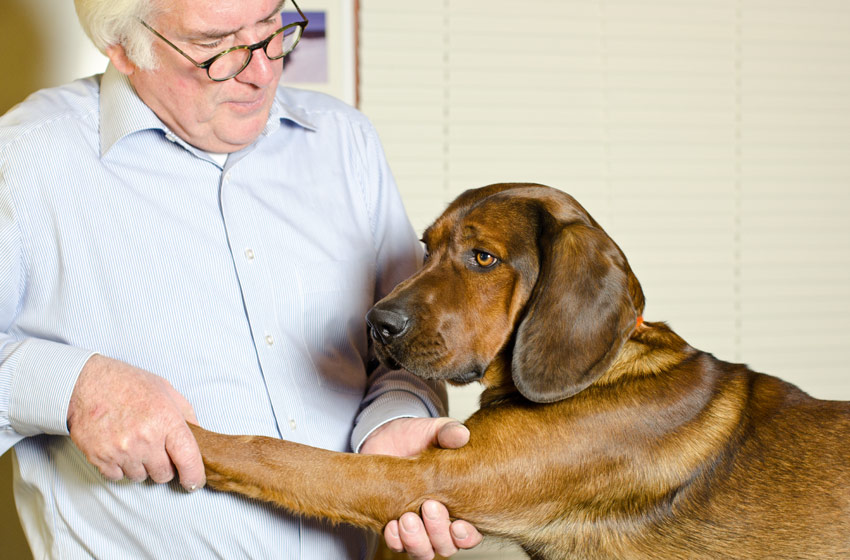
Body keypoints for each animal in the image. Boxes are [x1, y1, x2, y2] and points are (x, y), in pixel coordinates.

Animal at [190, 185, 848, 560]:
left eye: (484, 258)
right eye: (425, 248)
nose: (377, 324)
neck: (603, 370)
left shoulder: (414, 479)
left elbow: (272, 453)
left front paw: (186, 436)